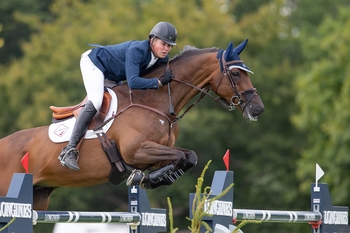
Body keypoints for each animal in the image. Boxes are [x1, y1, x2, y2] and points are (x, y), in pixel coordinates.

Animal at [0, 39, 264, 210]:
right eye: (236, 74)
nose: (258, 109)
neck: (155, 102)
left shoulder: (157, 152)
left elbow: (188, 157)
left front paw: (150, 178)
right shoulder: (137, 150)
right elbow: (184, 156)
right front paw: (143, 178)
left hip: (39, 195)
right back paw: (70, 156)